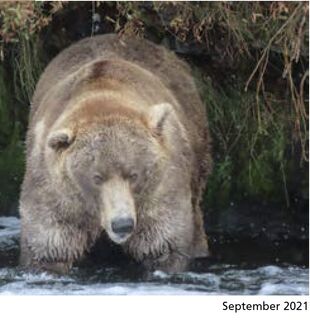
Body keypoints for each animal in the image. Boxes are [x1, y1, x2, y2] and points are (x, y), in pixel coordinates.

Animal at [19, 33, 212, 274]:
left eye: (134, 174)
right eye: (96, 177)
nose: (122, 224)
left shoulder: (160, 185)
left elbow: (162, 241)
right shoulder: (56, 190)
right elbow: (50, 243)